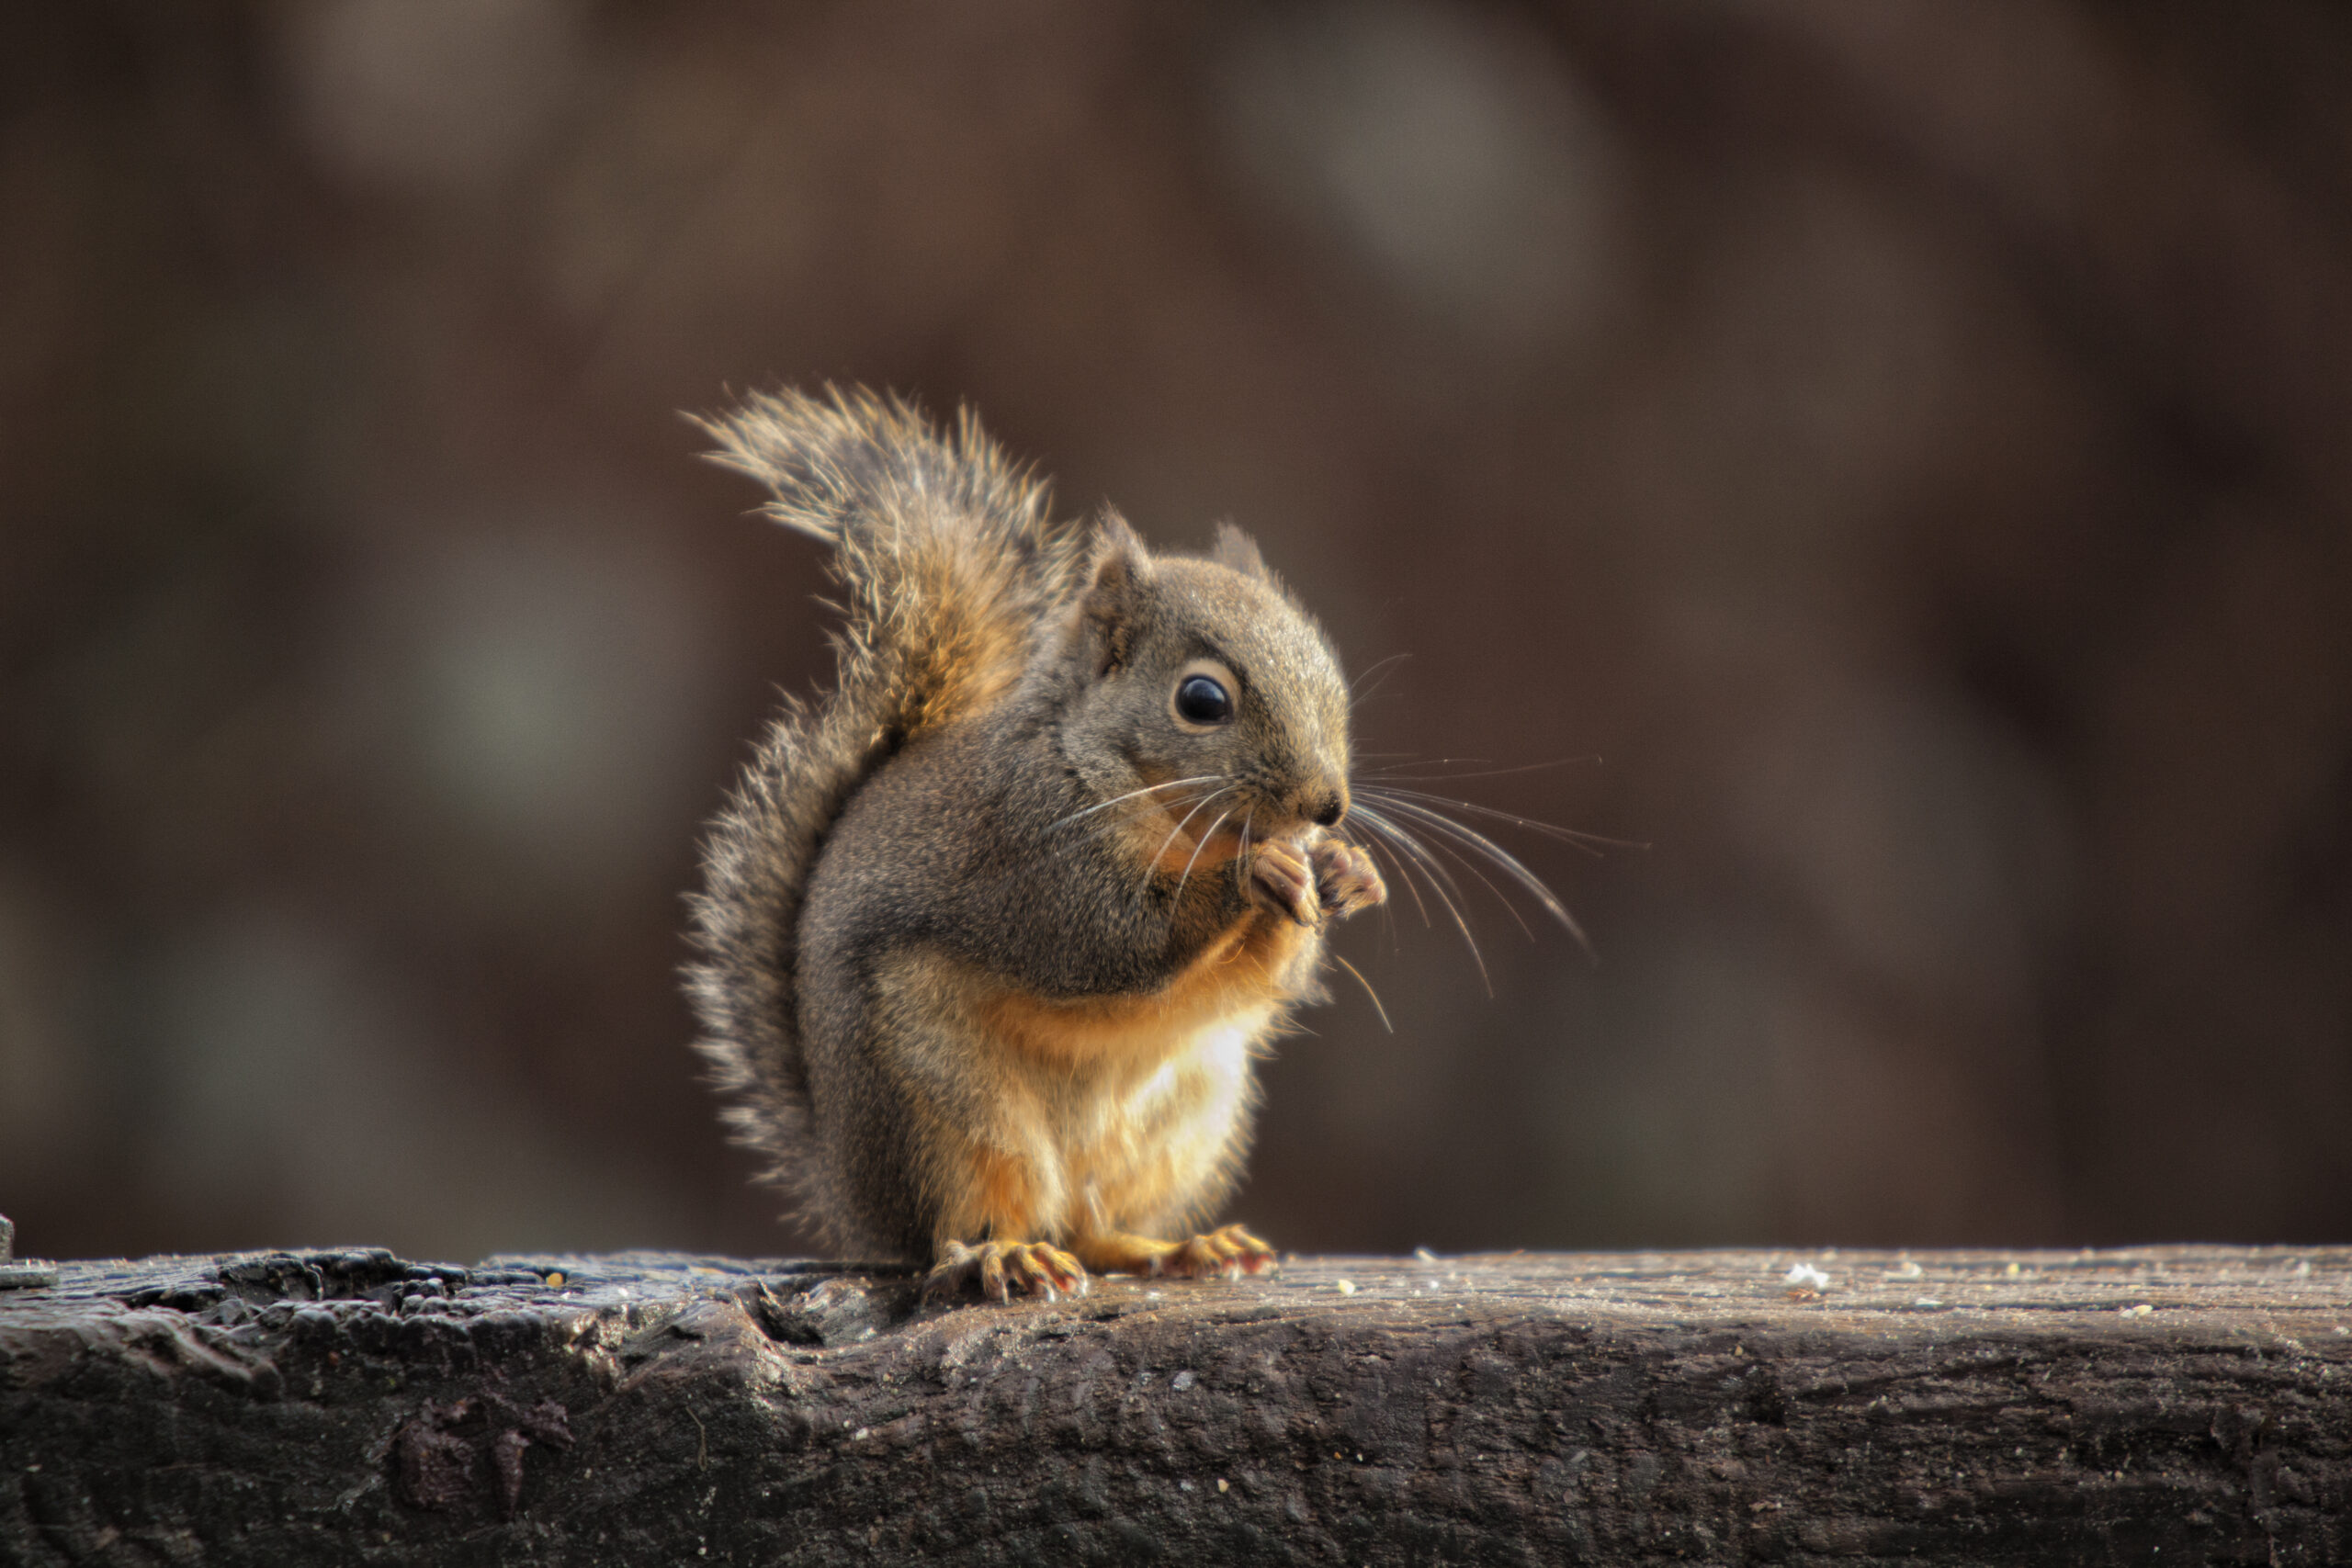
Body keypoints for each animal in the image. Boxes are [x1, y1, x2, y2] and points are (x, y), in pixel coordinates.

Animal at [682, 389, 1383, 1297]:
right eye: (1202, 700)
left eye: (1328, 675)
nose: (1326, 807)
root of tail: (849, 1195)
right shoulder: (1028, 847)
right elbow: (1113, 937)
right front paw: (1250, 874)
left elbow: (1264, 981)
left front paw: (1343, 871)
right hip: (943, 1109)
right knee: (953, 1235)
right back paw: (1002, 1253)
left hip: (1189, 1120)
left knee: (1093, 1229)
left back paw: (1179, 1247)